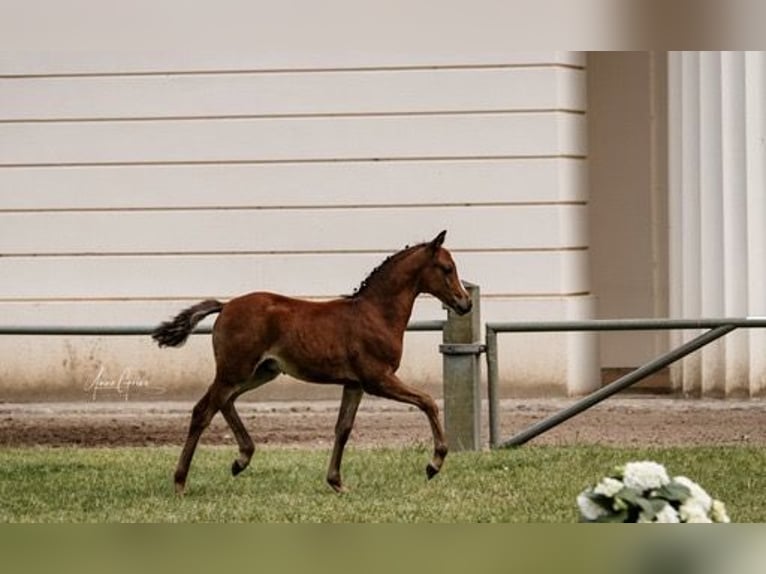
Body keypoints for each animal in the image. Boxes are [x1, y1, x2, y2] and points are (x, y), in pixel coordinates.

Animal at [153, 232, 472, 498]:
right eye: (447, 268)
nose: (465, 303)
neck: (376, 313)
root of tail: (226, 305)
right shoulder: (378, 379)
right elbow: (427, 401)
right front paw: (434, 464)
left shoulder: (354, 384)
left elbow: (343, 428)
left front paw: (337, 482)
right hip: (235, 371)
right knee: (203, 411)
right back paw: (181, 482)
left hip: (259, 373)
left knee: (224, 403)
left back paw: (241, 459)